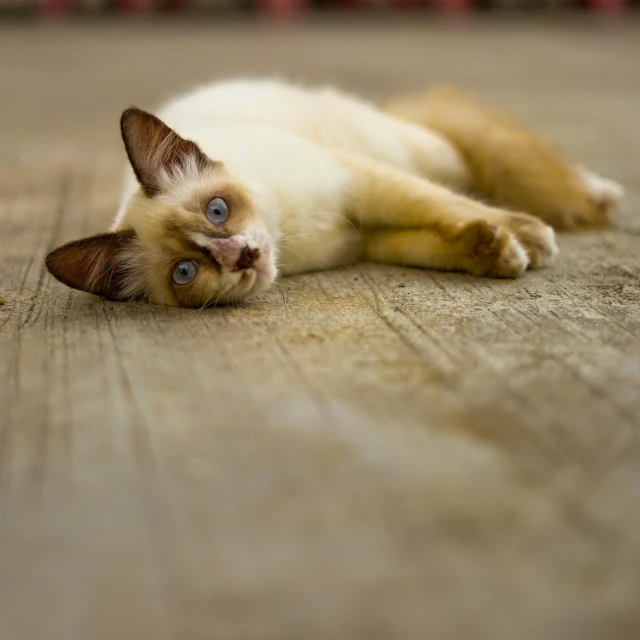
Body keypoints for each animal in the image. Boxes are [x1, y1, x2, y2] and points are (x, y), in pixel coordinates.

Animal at [43, 77, 620, 308]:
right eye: (185, 272)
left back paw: (597, 191)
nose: (241, 255)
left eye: (217, 210)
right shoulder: (368, 239)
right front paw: (496, 251)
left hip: (417, 150)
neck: (288, 234)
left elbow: (445, 205)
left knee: (476, 153)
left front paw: (527, 237)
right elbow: (439, 240)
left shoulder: (364, 185)